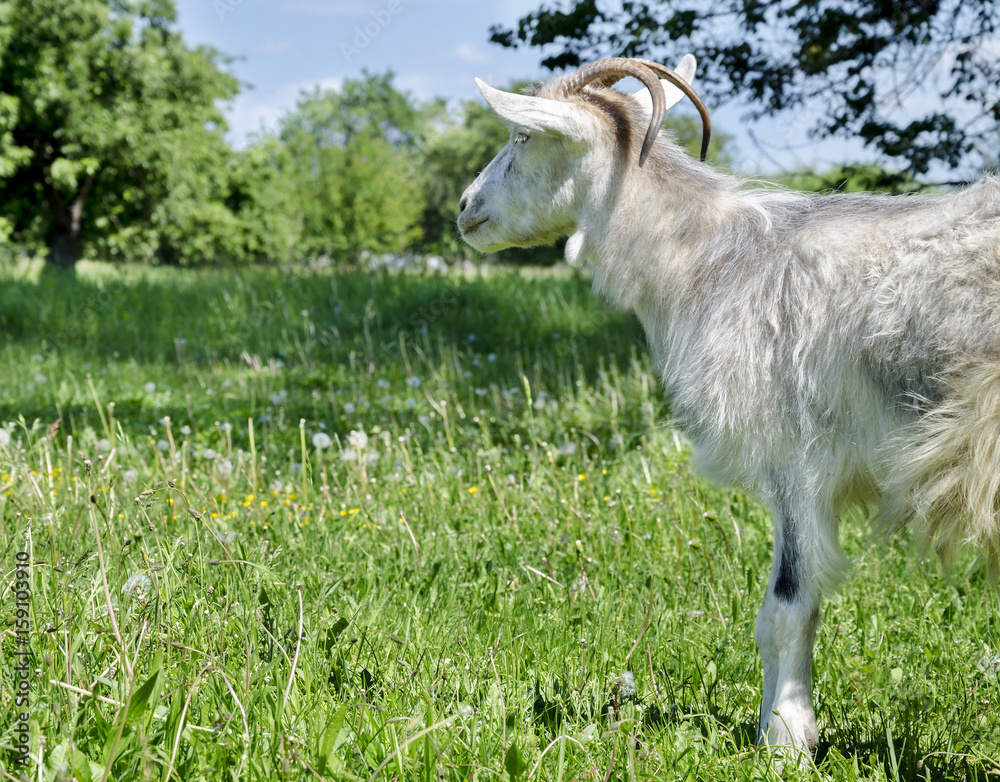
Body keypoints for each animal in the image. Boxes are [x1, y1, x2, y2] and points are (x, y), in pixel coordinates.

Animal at [457, 56, 1000, 759]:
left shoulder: (799, 458)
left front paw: (786, 739)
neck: (713, 260)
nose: (465, 208)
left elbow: (787, 610)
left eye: (523, 136)